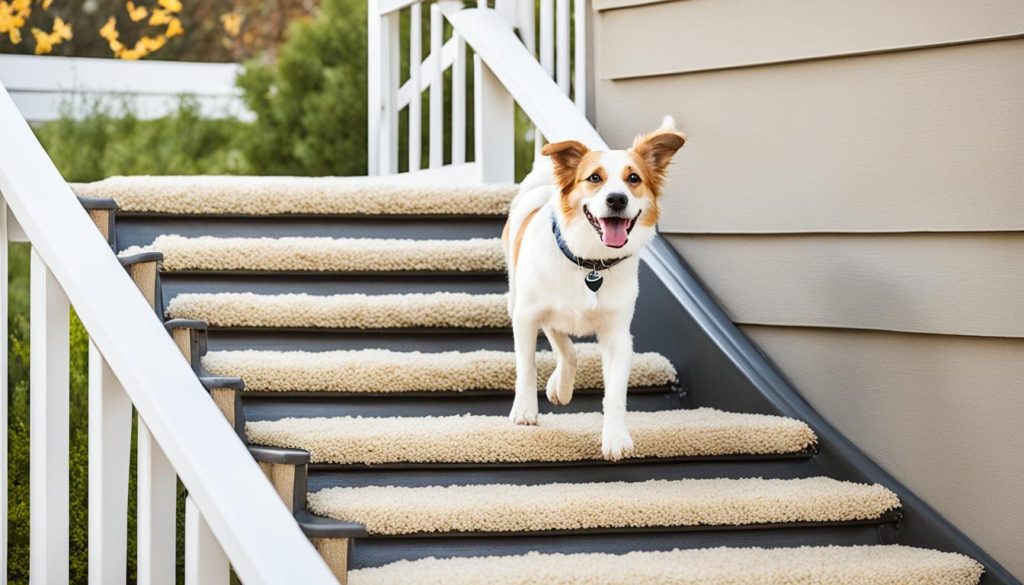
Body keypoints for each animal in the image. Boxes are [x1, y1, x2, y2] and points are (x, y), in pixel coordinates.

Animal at [499, 116, 684, 461]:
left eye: (634, 178)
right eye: (594, 177)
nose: (617, 199)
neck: (590, 263)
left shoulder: (618, 335)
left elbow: (615, 391)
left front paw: (615, 436)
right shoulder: (526, 317)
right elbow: (527, 365)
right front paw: (525, 411)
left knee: (565, 345)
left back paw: (561, 386)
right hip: (519, 299)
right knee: (557, 338)